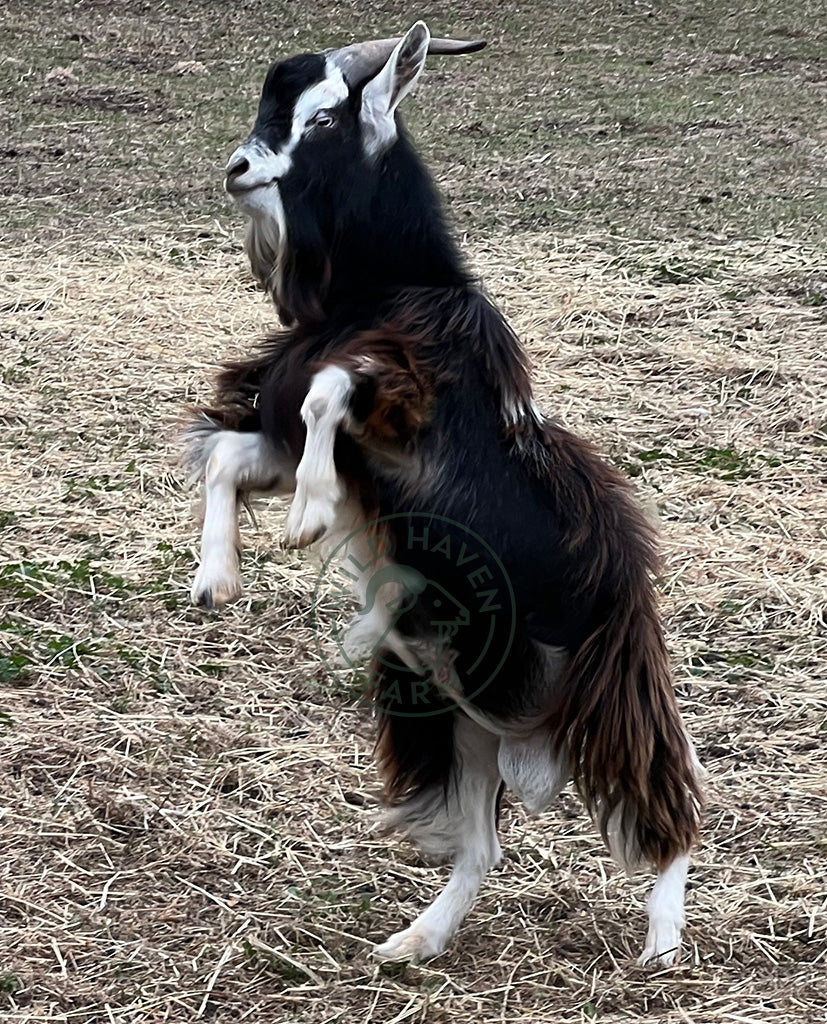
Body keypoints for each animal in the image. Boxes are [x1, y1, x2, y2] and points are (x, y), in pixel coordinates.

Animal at [185, 24, 704, 966]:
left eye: (324, 118)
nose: (239, 168)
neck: (387, 288)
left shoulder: (396, 401)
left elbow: (328, 394)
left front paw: (306, 515)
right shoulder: (294, 439)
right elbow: (229, 461)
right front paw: (219, 577)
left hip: (610, 699)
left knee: (675, 799)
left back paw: (661, 942)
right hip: (462, 723)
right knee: (485, 847)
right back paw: (415, 940)